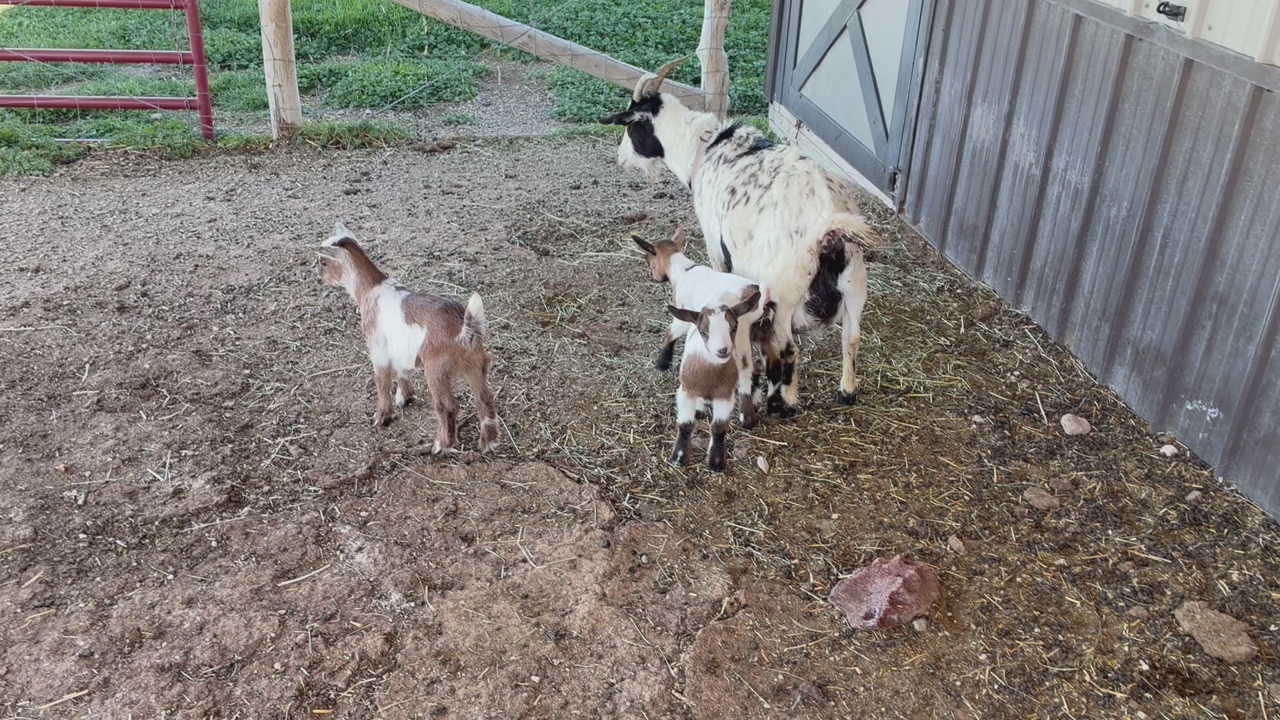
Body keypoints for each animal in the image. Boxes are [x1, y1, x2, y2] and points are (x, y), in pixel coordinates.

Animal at [318, 222, 499, 454]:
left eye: (323, 262)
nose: (318, 276)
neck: (370, 289)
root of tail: (465, 330)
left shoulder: (378, 348)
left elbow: (382, 381)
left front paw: (381, 417)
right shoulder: (399, 346)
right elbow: (402, 369)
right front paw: (405, 397)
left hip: (437, 369)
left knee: (447, 407)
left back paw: (441, 446)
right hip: (477, 364)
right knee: (483, 399)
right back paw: (489, 443)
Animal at [634, 226, 774, 428]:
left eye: (648, 259)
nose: (653, 278)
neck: (683, 271)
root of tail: (759, 300)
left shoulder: (684, 314)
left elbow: (670, 332)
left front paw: (662, 362)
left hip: (738, 338)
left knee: (745, 371)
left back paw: (746, 418)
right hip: (763, 333)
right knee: (758, 369)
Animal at [666, 287, 761, 472]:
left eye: (733, 327)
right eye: (703, 332)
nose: (722, 350)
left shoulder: (725, 395)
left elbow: (718, 428)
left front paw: (716, 462)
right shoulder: (686, 391)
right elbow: (685, 425)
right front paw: (678, 458)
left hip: (744, 350)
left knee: (746, 378)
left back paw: (746, 416)